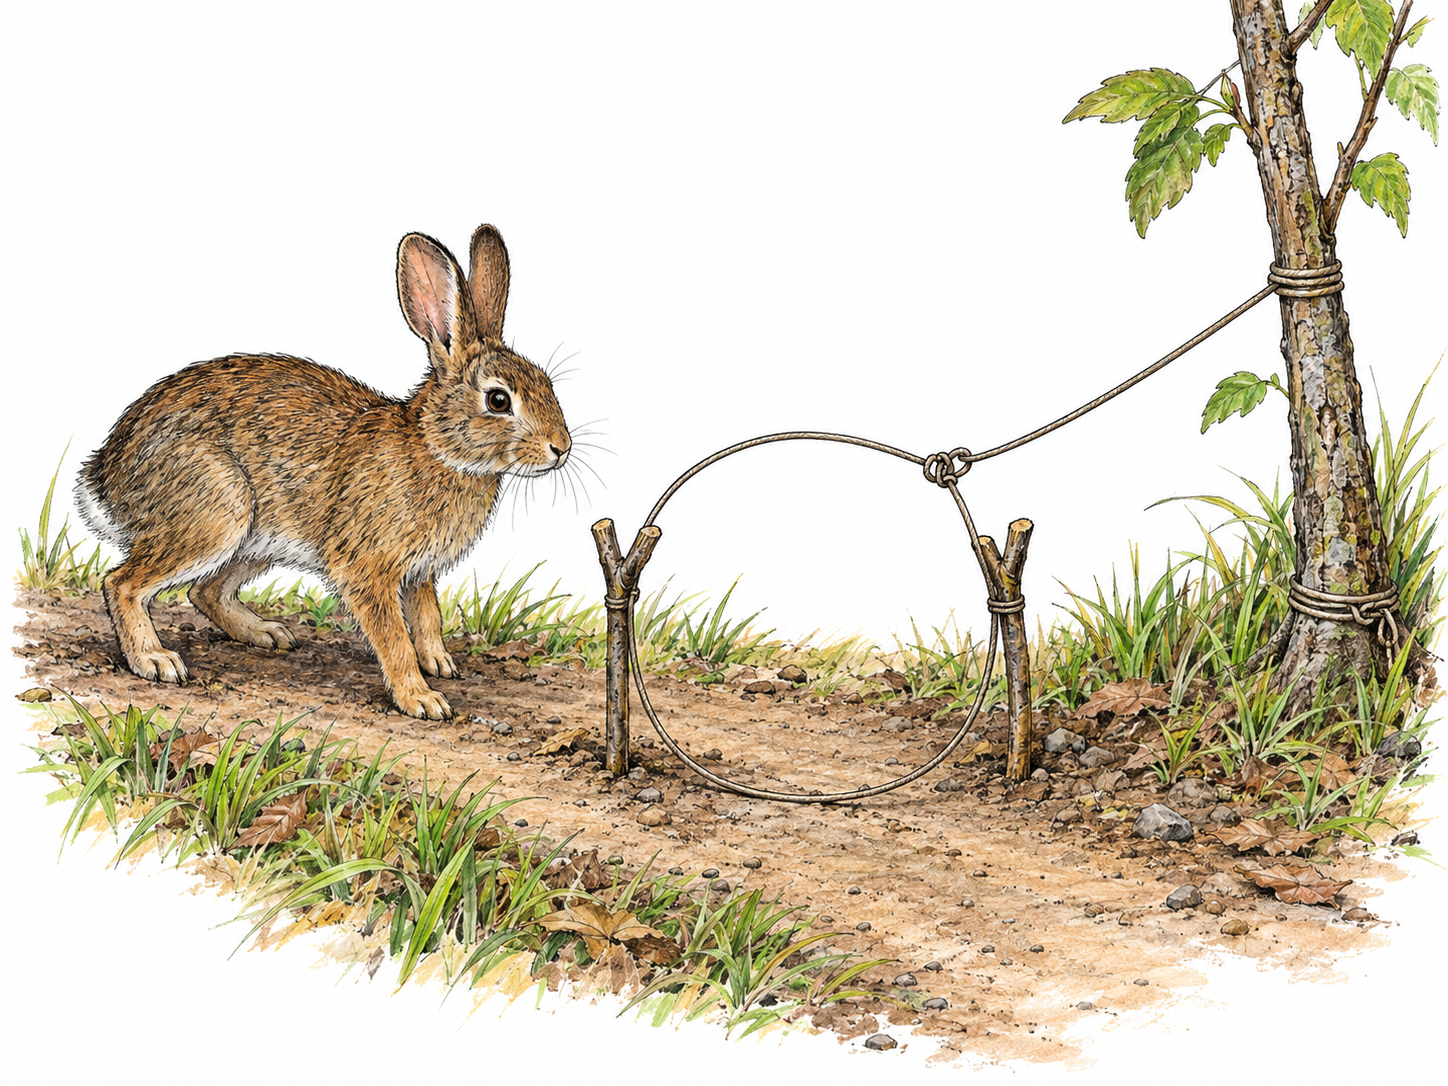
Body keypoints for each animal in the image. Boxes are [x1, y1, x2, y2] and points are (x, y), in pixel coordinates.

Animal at [76, 223, 571, 720]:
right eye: (498, 400)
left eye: (547, 384)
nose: (561, 449)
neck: (434, 446)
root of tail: (108, 474)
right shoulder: (367, 567)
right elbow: (394, 638)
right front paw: (422, 699)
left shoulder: (419, 572)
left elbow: (427, 617)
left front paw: (440, 664)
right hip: (216, 511)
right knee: (121, 583)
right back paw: (154, 661)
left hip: (257, 538)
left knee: (205, 592)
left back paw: (267, 634)